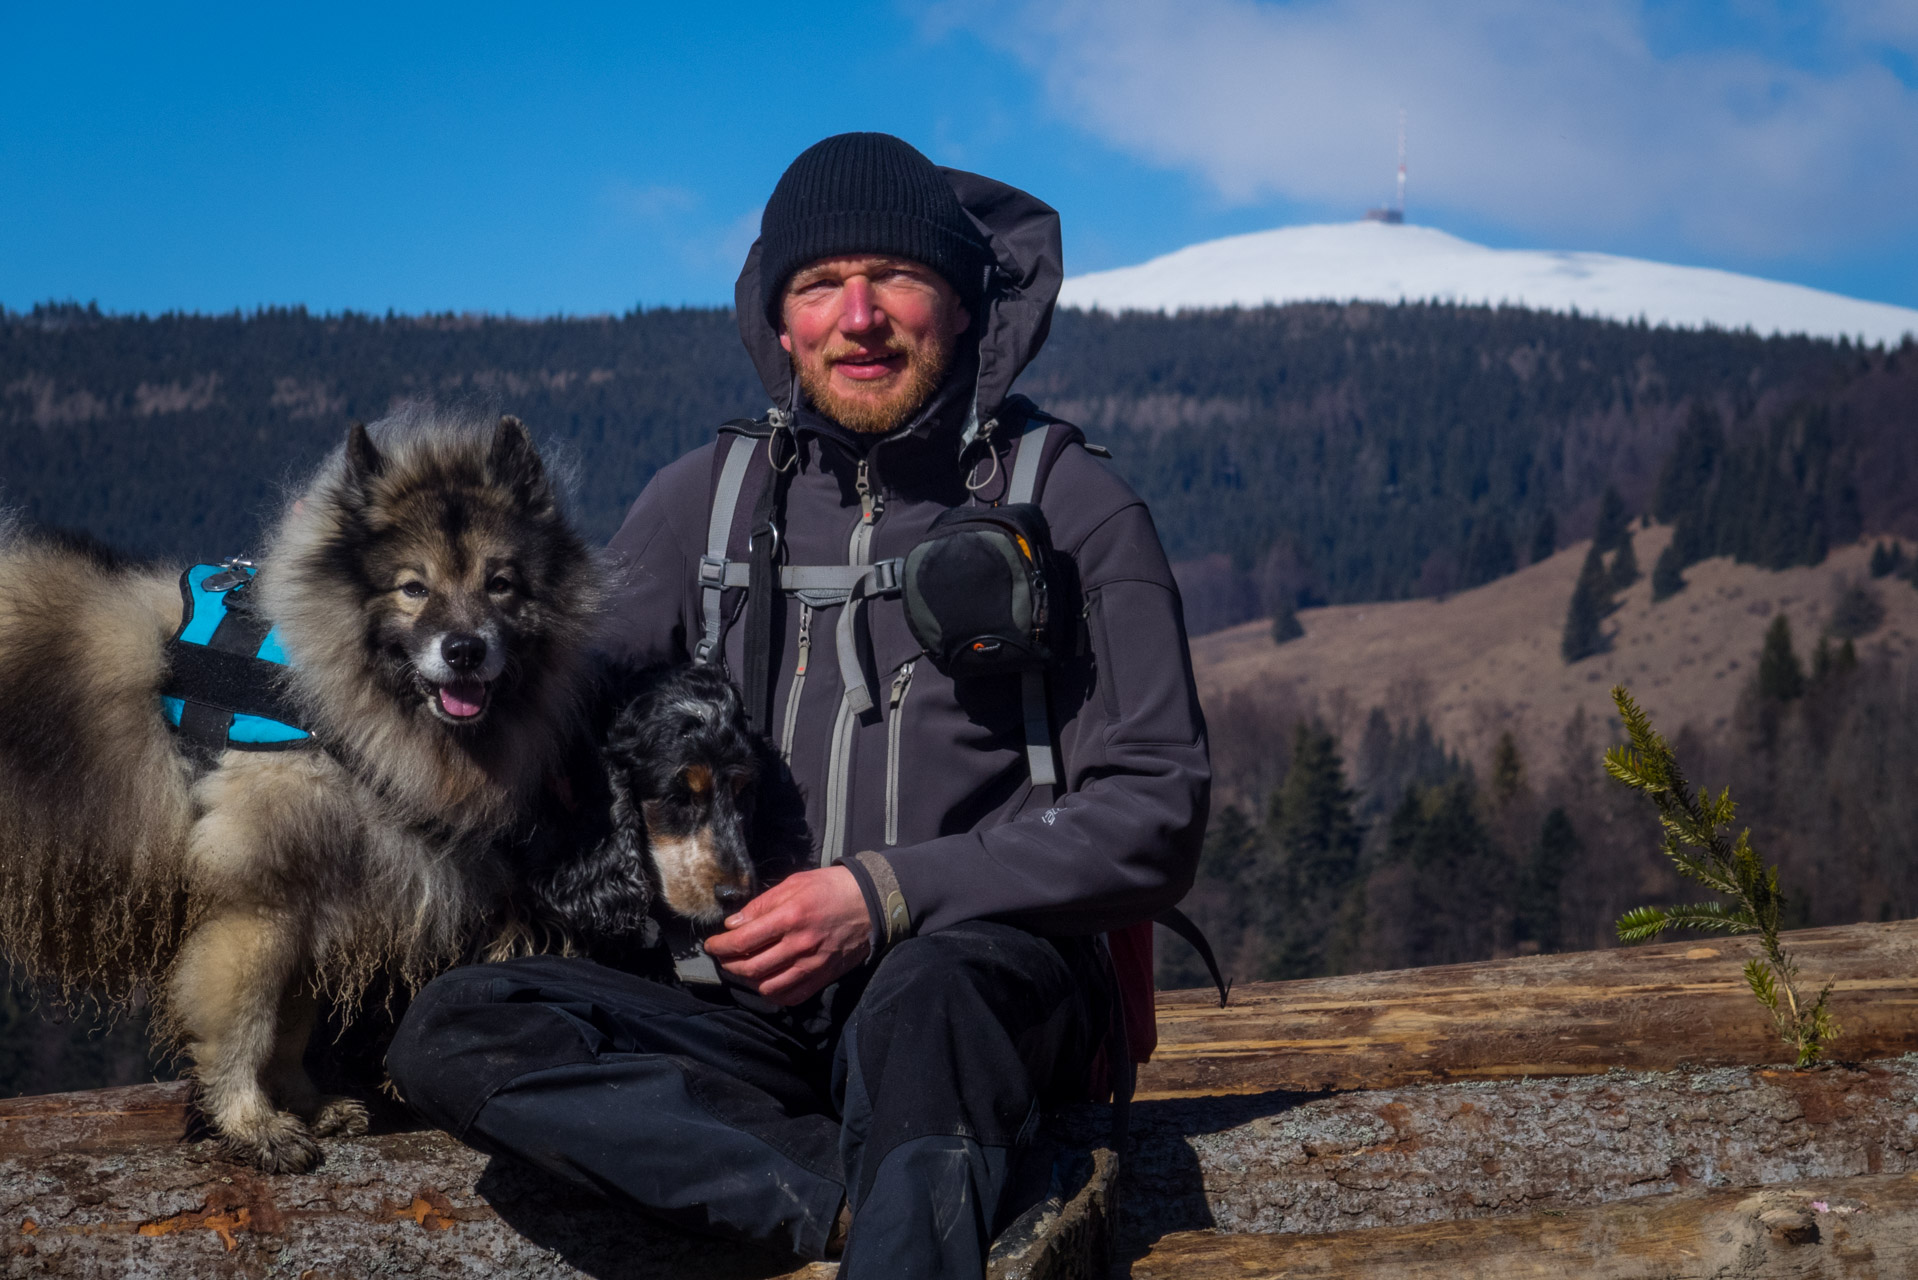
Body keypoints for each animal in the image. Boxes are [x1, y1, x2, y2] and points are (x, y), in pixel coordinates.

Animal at [0, 410, 602, 1174]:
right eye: (413, 588)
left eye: (501, 585)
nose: (464, 650)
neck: (325, 699)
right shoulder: (260, 906)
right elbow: (246, 1026)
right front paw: (251, 1123)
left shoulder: (317, 902)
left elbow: (289, 1028)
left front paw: (305, 1105)